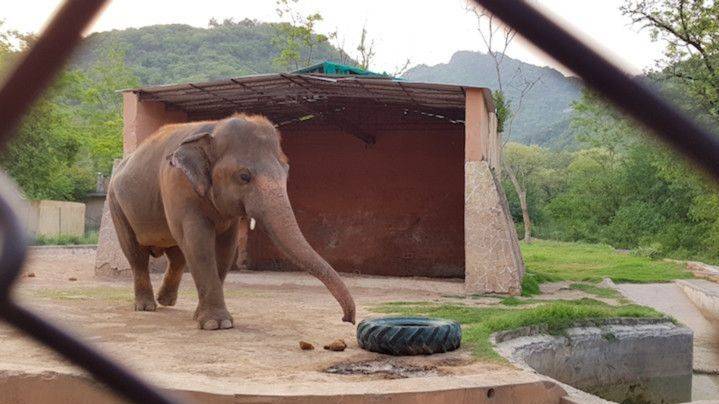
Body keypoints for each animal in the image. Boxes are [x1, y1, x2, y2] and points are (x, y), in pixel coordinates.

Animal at [109, 113, 358, 328]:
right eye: (244, 176)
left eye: (286, 171)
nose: (348, 320)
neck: (214, 128)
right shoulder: (177, 185)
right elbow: (198, 243)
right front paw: (216, 324)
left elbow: (226, 247)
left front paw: (202, 318)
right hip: (116, 205)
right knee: (137, 255)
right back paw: (146, 307)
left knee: (177, 255)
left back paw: (166, 302)